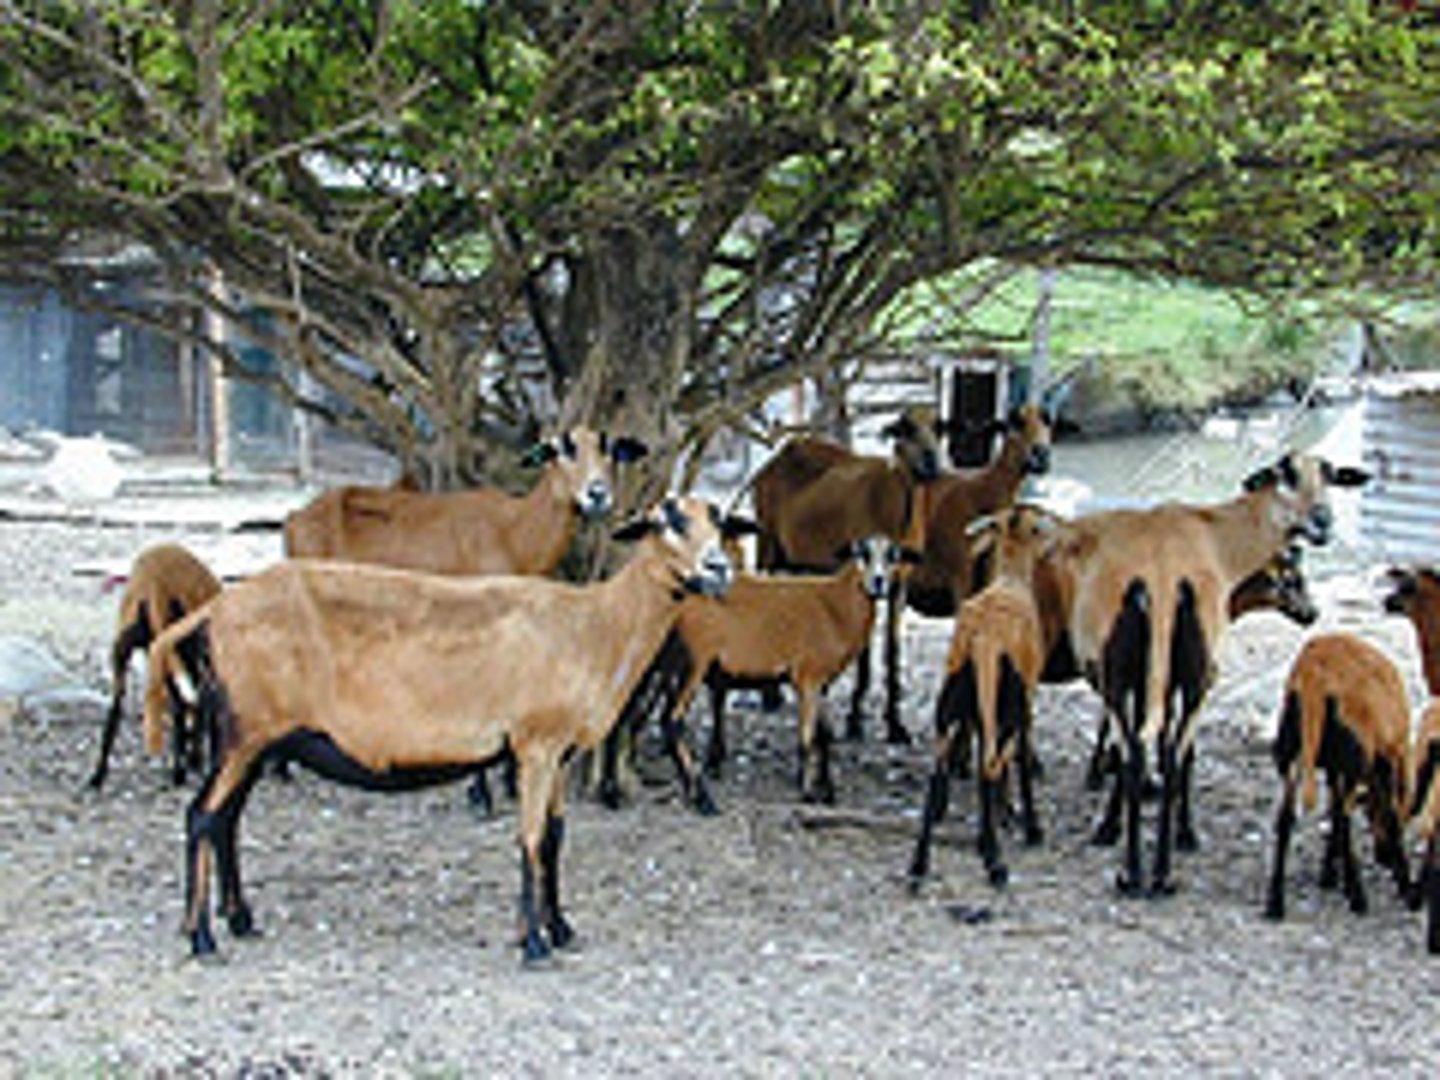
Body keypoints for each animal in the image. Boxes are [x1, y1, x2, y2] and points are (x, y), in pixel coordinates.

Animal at [88, 543, 222, 790]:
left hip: (125, 654)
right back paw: (181, 771)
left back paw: (98, 775)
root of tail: (153, 586)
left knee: (116, 708)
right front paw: (195, 760)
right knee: (186, 705)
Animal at [142, 494, 739, 963]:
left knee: (225, 821)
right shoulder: (536, 744)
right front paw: (534, 942)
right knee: (202, 817)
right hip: (245, 732)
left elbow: (554, 840)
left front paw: (561, 928)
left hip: (250, 737)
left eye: (719, 521)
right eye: (668, 520)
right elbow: (530, 838)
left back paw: (240, 920)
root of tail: (212, 613)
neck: (595, 626)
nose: (719, 570)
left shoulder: (561, 752)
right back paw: (200, 937)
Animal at [909, 504, 1059, 889]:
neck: (1011, 578)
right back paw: (995, 862)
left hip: (953, 697)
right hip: (1002, 700)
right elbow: (1019, 759)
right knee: (989, 764)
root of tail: (984, 639)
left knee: (940, 768)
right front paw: (1030, 826)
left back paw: (919, 865)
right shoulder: (1024, 700)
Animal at [1049, 452, 1368, 895]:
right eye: (1286, 474)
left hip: (1127, 672)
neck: (1220, 536)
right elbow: (1181, 752)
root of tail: (1162, 581)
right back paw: (1158, 873)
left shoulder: (1145, 680)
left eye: (1331, 476)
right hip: (1194, 673)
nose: (1323, 522)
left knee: (1140, 751)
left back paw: (1138, 873)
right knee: (1164, 752)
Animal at [1263, 633, 1415, 922]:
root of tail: (1313, 674)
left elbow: (1332, 808)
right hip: (1355, 751)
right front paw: (1406, 886)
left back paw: (1274, 903)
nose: (1382, 856)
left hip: (1291, 747)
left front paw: (1329, 876)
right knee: (1344, 820)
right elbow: (1389, 816)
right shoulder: (1383, 760)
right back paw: (1359, 898)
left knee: (1286, 818)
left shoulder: (1336, 769)